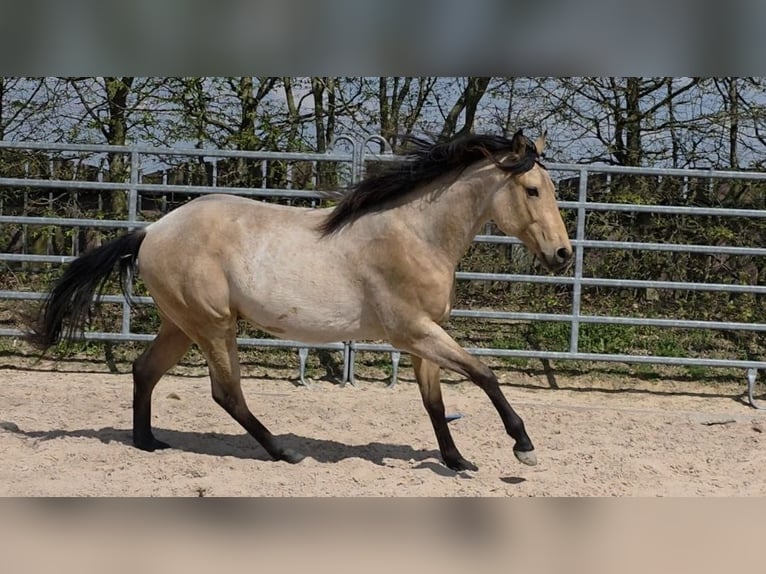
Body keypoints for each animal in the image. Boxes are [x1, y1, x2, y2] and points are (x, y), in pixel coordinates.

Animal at [27, 130, 573, 472]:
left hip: (182, 324)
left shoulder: (422, 339)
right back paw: (283, 452)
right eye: (531, 189)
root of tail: (152, 230)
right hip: (213, 325)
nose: (563, 255)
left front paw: (457, 461)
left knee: (145, 370)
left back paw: (147, 443)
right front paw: (523, 447)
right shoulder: (413, 331)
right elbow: (484, 374)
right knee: (226, 393)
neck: (415, 234)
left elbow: (435, 403)